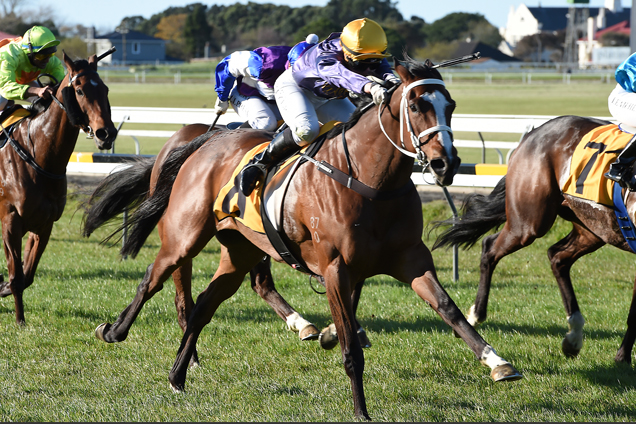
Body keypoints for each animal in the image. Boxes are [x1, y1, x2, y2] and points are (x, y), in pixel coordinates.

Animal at [0, 53, 117, 324]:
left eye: (105, 88)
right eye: (79, 90)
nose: (106, 133)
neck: (38, 156)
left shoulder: (44, 224)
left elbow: (26, 275)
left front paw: (3, 288)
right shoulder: (10, 220)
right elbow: (16, 276)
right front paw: (20, 320)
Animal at [108, 57, 520, 420]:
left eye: (450, 106)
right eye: (417, 105)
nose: (445, 163)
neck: (372, 182)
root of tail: (206, 141)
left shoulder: (411, 259)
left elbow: (449, 310)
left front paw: (497, 362)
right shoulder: (336, 268)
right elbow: (351, 346)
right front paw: (361, 410)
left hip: (239, 252)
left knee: (204, 306)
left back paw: (177, 375)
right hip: (185, 236)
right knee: (153, 278)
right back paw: (114, 330)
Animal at [434, 114, 636, 362]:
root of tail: (533, 133)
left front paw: (622, 356)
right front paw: (622, 358)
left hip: (593, 228)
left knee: (558, 257)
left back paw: (573, 337)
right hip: (529, 222)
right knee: (490, 247)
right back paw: (475, 315)